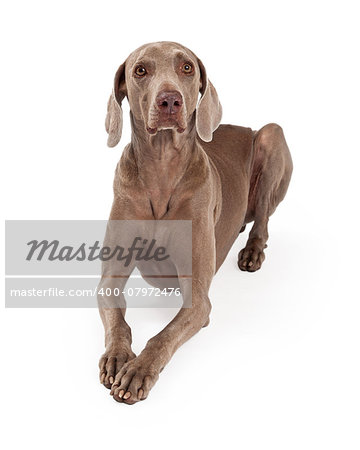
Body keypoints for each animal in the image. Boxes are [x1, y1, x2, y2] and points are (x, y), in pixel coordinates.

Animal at [97, 41, 292, 404]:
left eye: (186, 67)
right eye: (140, 70)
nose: (170, 100)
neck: (162, 170)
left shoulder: (198, 296)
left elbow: (163, 336)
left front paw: (138, 371)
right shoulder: (109, 279)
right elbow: (118, 323)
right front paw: (117, 356)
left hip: (272, 135)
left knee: (263, 218)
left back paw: (252, 251)